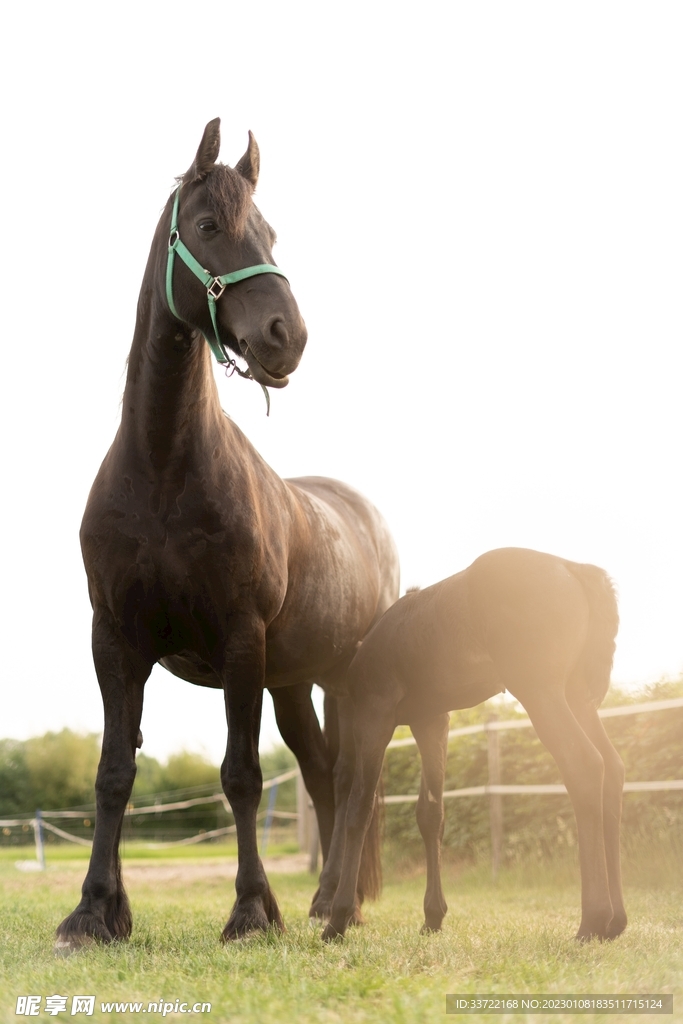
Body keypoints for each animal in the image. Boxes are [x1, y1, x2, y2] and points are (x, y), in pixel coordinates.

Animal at [55, 119, 399, 949]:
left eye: (270, 232)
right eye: (209, 226)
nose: (286, 336)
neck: (162, 467)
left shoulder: (241, 640)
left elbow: (240, 776)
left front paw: (249, 912)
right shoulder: (115, 641)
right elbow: (114, 773)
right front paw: (96, 911)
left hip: (341, 677)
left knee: (354, 778)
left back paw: (345, 903)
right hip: (295, 683)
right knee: (323, 773)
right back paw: (326, 900)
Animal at [321, 547, 626, 943]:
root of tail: (574, 570)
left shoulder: (375, 716)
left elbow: (359, 809)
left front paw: (337, 919)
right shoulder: (432, 722)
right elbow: (430, 813)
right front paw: (433, 916)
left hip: (541, 694)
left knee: (584, 765)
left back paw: (592, 920)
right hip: (578, 697)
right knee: (613, 769)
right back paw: (615, 921)